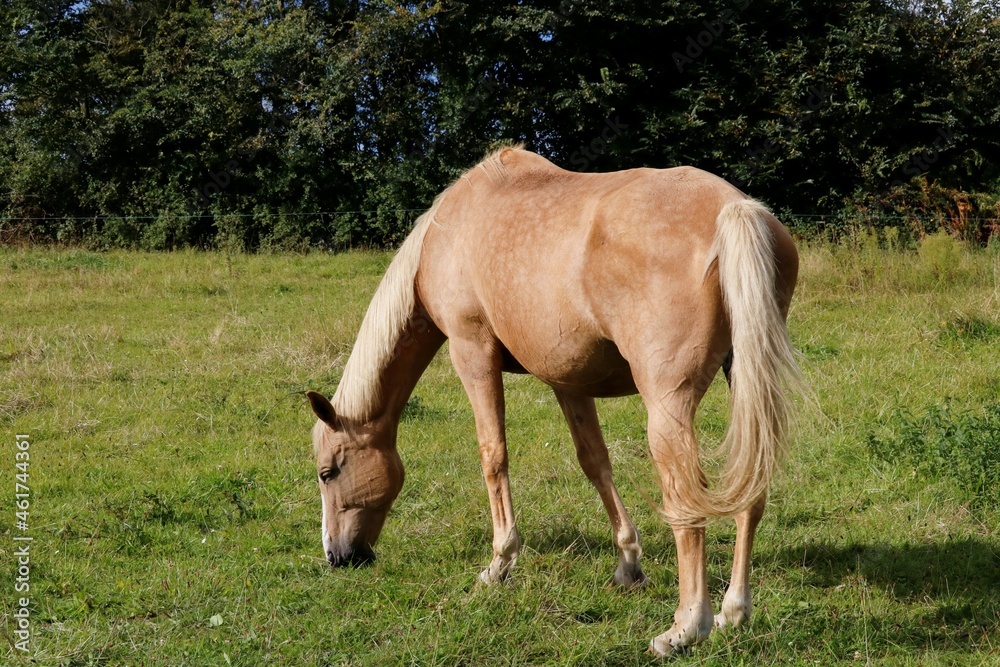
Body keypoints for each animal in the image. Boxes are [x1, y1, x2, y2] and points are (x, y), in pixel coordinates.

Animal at [306, 146, 801, 655]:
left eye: (328, 473)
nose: (336, 556)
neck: (446, 233)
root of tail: (733, 209)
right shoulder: (567, 378)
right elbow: (595, 463)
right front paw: (628, 563)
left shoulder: (471, 350)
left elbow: (493, 455)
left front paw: (499, 565)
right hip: (747, 387)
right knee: (751, 490)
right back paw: (733, 612)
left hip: (668, 408)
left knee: (687, 502)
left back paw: (686, 626)